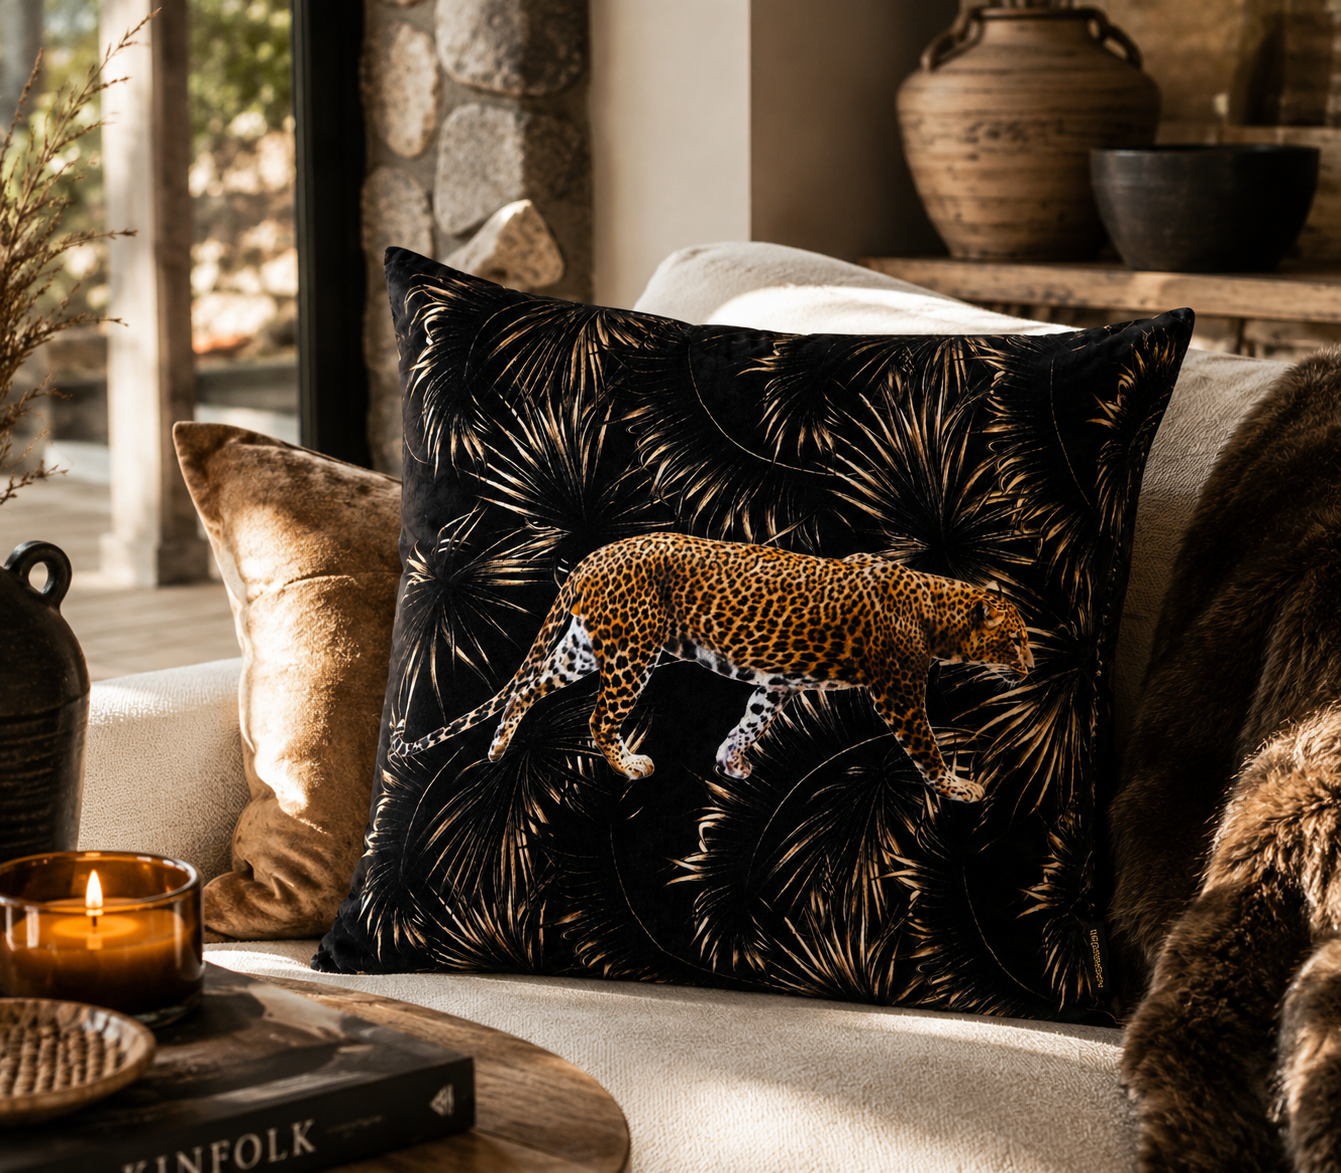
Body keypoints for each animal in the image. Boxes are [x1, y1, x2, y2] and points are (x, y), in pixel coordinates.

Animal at [392, 532, 1034, 802]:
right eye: (1016, 637)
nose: (1032, 664)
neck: (938, 610)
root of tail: (598, 554)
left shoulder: (778, 682)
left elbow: (752, 720)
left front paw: (731, 761)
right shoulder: (897, 693)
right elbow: (926, 747)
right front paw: (960, 787)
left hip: (586, 647)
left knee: (530, 688)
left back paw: (499, 748)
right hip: (633, 652)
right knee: (600, 719)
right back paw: (631, 767)